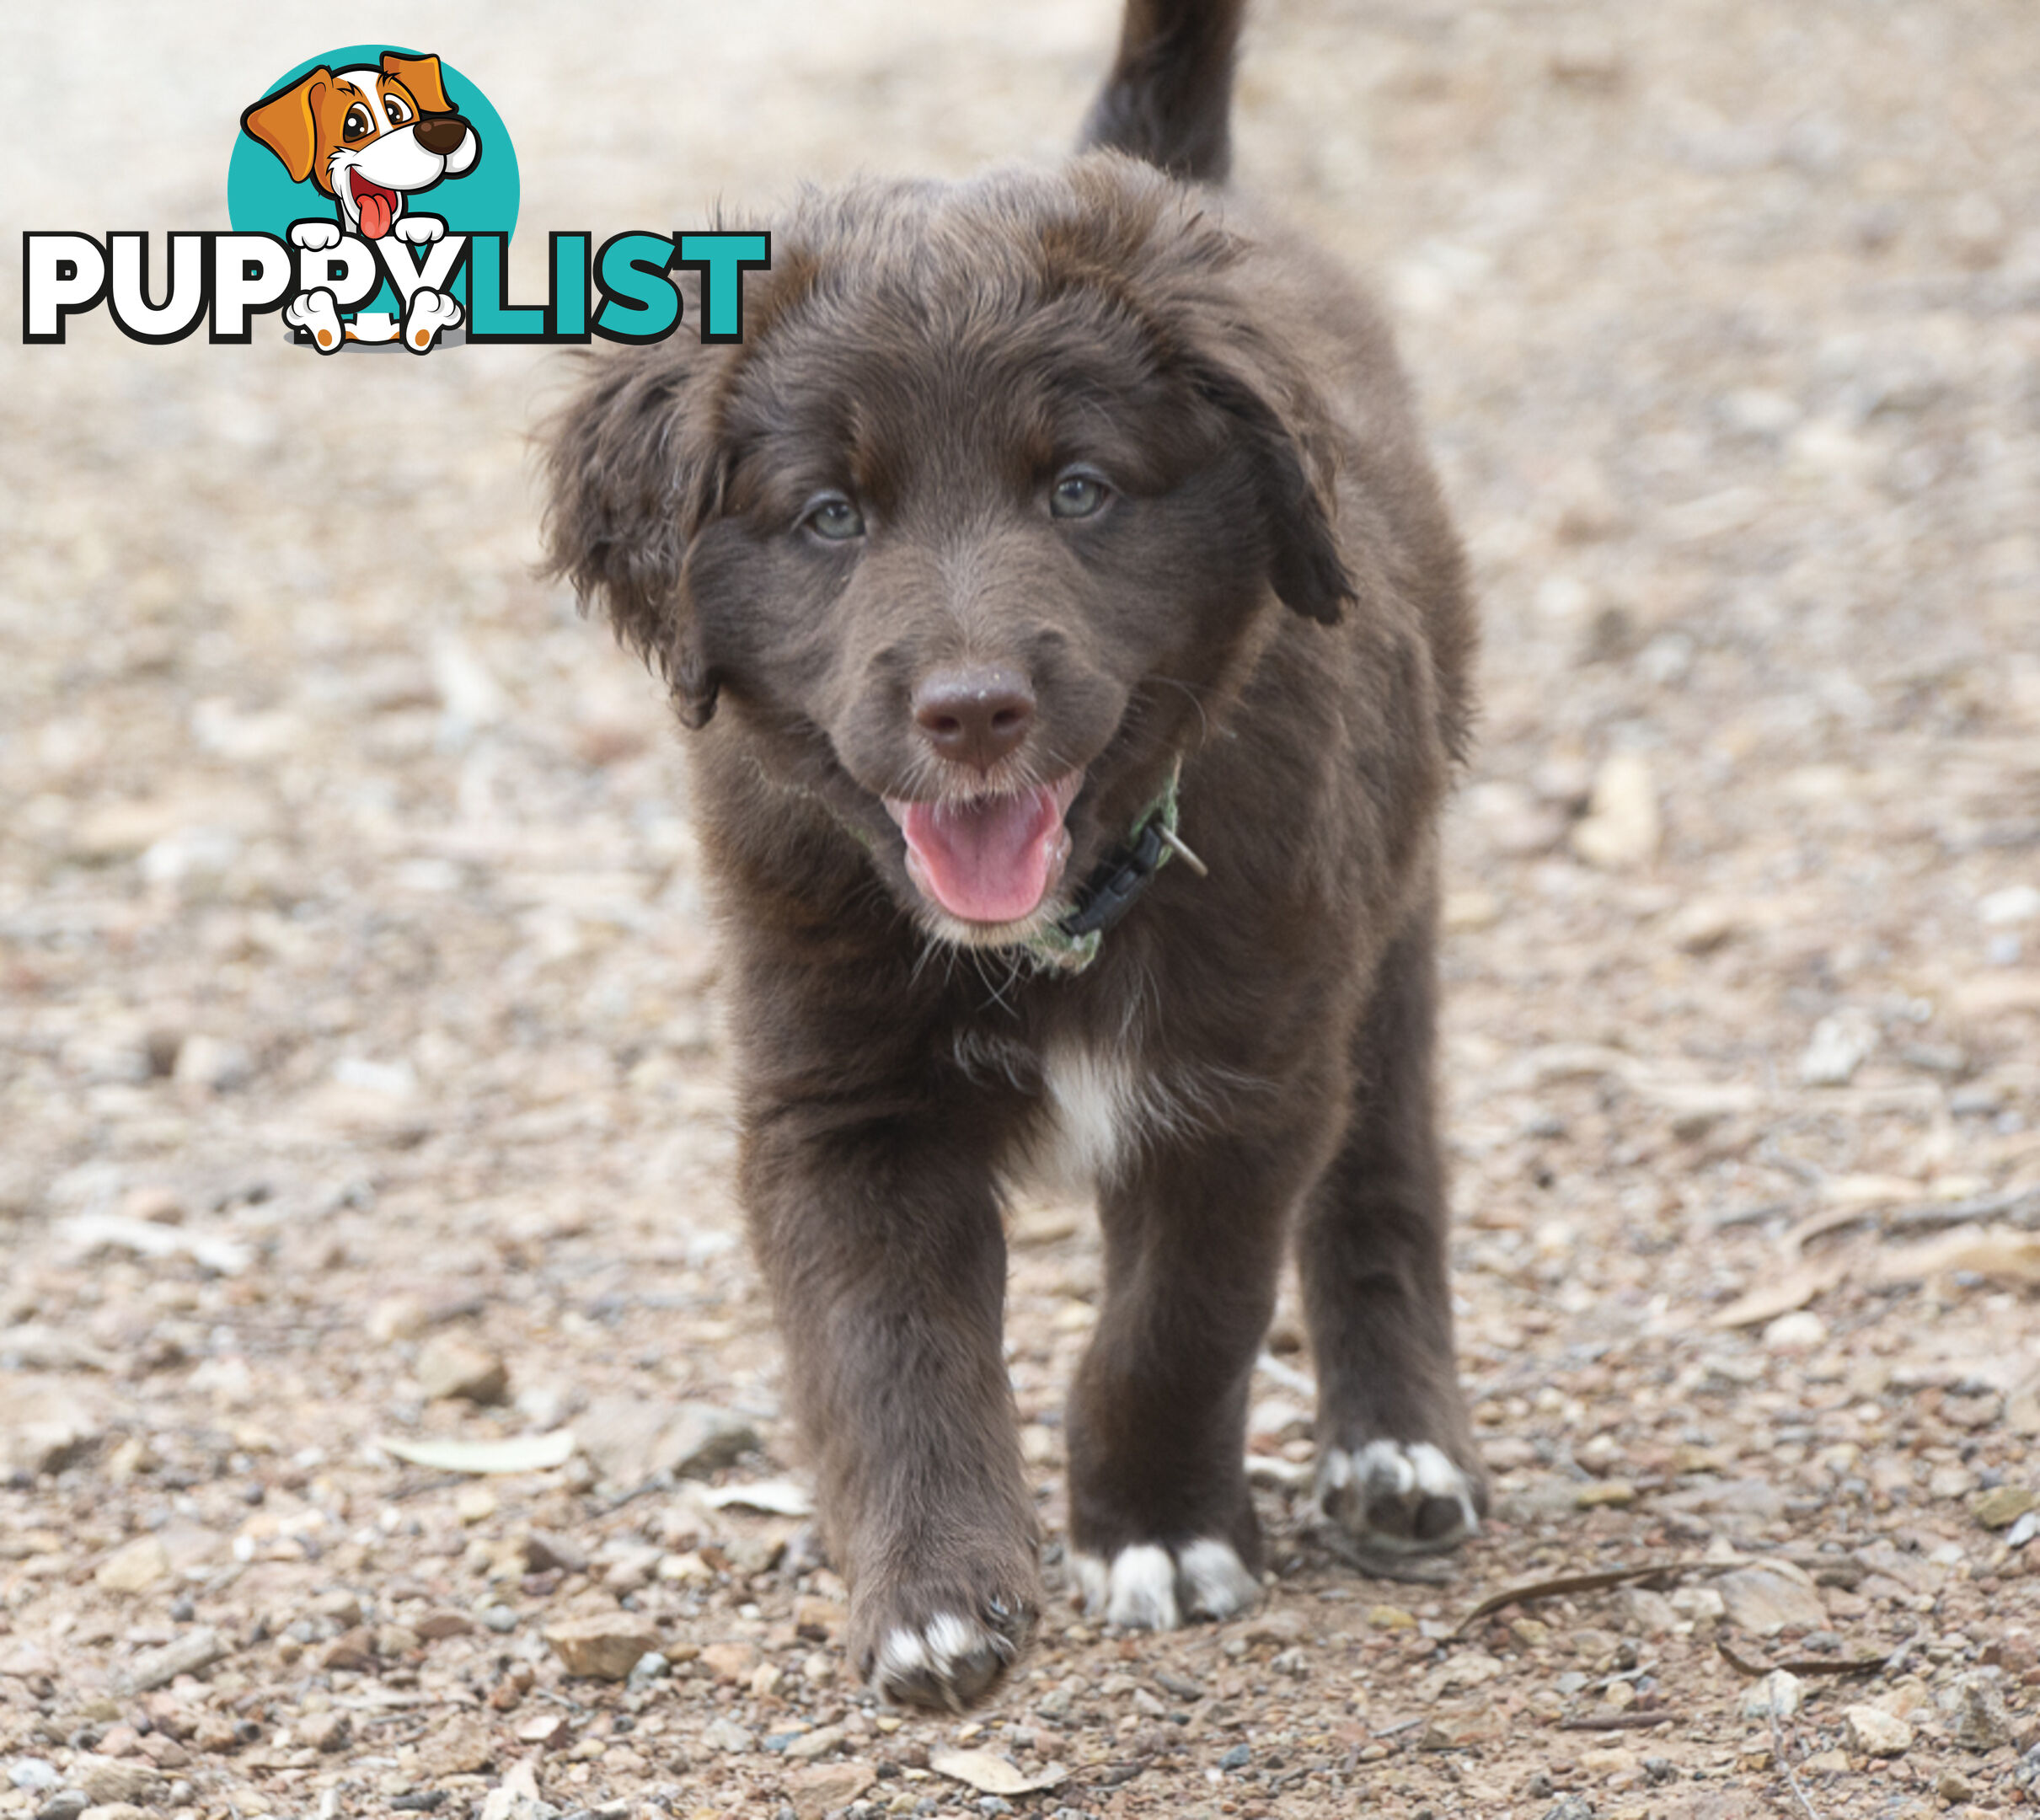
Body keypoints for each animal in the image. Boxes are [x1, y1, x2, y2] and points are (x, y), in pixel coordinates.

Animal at [546, 0, 1485, 1705]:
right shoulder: (836, 1105)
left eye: (1080, 490)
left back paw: (1394, 1450)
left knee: (1385, 1168)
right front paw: (934, 1603)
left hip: (1383, 924)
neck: (1057, 922)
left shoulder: (1246, 1079)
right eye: (831, 515)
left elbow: (1178, 1324)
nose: (974, 708)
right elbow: (885, 1347)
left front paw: (1162, 1529)